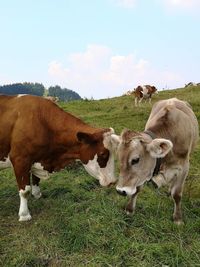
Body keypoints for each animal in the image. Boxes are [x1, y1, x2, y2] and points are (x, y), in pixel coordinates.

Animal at [0, 94, 117, 222]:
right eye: (103, 154)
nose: (113, 181)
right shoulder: (20, 159)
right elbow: (25, 190)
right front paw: (24, 215)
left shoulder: (37, 158)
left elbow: (36, 179)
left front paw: (37, 195)